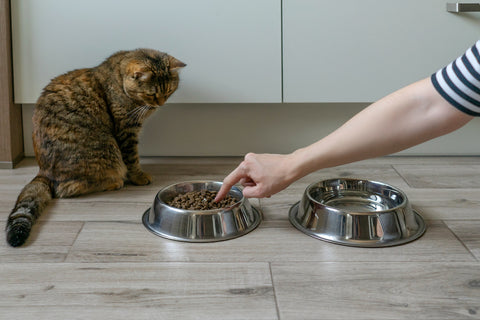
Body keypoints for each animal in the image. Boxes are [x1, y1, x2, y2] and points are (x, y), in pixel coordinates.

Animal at [5, 48, 186, 248]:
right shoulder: (126, 130)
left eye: (169, 91)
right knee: (67, 189)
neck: (118, 78)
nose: (160, 104)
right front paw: (138, 176)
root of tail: (43, 171)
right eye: (152, 94)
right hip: (107, 149)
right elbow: (132, 158)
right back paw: (113, 182)